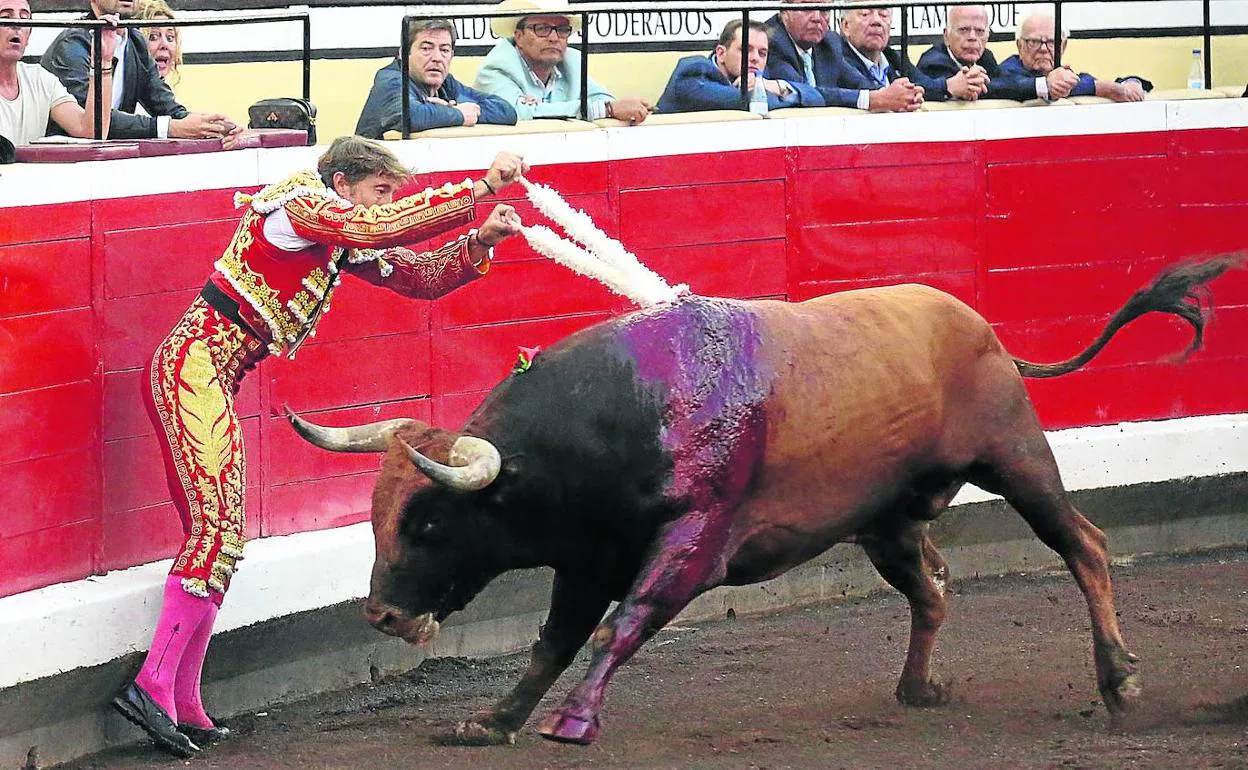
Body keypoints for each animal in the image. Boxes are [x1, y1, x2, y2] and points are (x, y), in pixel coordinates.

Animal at [289, 257, 1238, 743]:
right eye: (377, 514)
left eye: (430, 518)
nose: (379, 614)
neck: (628, 411)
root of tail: (985, 331)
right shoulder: (587, 558)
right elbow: (553, 640)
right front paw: (494, 719)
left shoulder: (693, 541)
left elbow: (621, 625)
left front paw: (573, 722)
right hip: (885, 520)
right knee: (931, 588)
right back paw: (918, 689)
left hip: (1017, 457)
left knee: (1083, 544)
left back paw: (1120, 681)